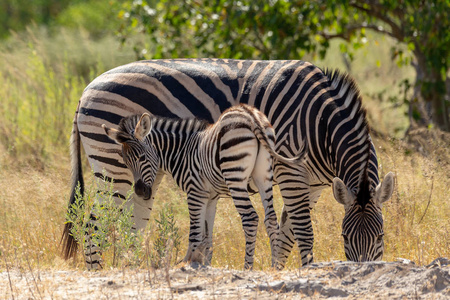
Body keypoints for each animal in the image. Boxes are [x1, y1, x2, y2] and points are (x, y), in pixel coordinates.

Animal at [102, 104, 306, 268]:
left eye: (142, 158)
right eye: (126, 162)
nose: (140, 191)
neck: (181, 152)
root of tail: (250, 115)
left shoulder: (195, 193)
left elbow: (195, 231)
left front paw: (188, 262)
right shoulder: (211, 197)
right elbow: (207, 233)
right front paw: (204, 262)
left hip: (235, 175)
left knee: (250, 218)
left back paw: (247, 267)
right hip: (264, 174)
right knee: (270, 219)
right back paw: (274, 266)